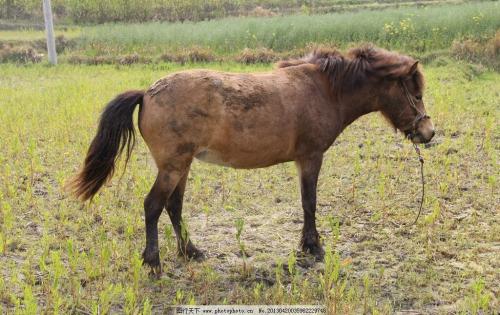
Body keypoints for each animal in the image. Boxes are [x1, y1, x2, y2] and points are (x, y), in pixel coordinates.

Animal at [69, 44, 434, 274]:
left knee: (173, 206)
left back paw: (191, 251)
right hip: (173, 167)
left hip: (181, 166)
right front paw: (313, 247)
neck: (325, 90)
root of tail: (146, 93)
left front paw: (307, 244)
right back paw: (154, 261)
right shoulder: (311, 157)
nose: (428, 133)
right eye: (416, 94)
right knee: (153, 206)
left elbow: (306, 202)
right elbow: (310, 202)